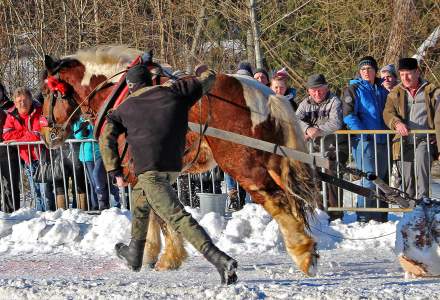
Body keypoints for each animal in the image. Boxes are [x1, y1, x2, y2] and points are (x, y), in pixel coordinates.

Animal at [40, 45, 320, 276]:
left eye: (45, 93)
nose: (46, 134)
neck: (118, 92)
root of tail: (266, 95)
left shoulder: (140, 170)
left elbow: (158, 215)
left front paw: (161, 257)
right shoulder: (153, 172)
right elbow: (155, 215)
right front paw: (155, 254)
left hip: (243, 165)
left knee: (276, 200)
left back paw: (303, 253)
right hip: (271, 161)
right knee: (291, 198)